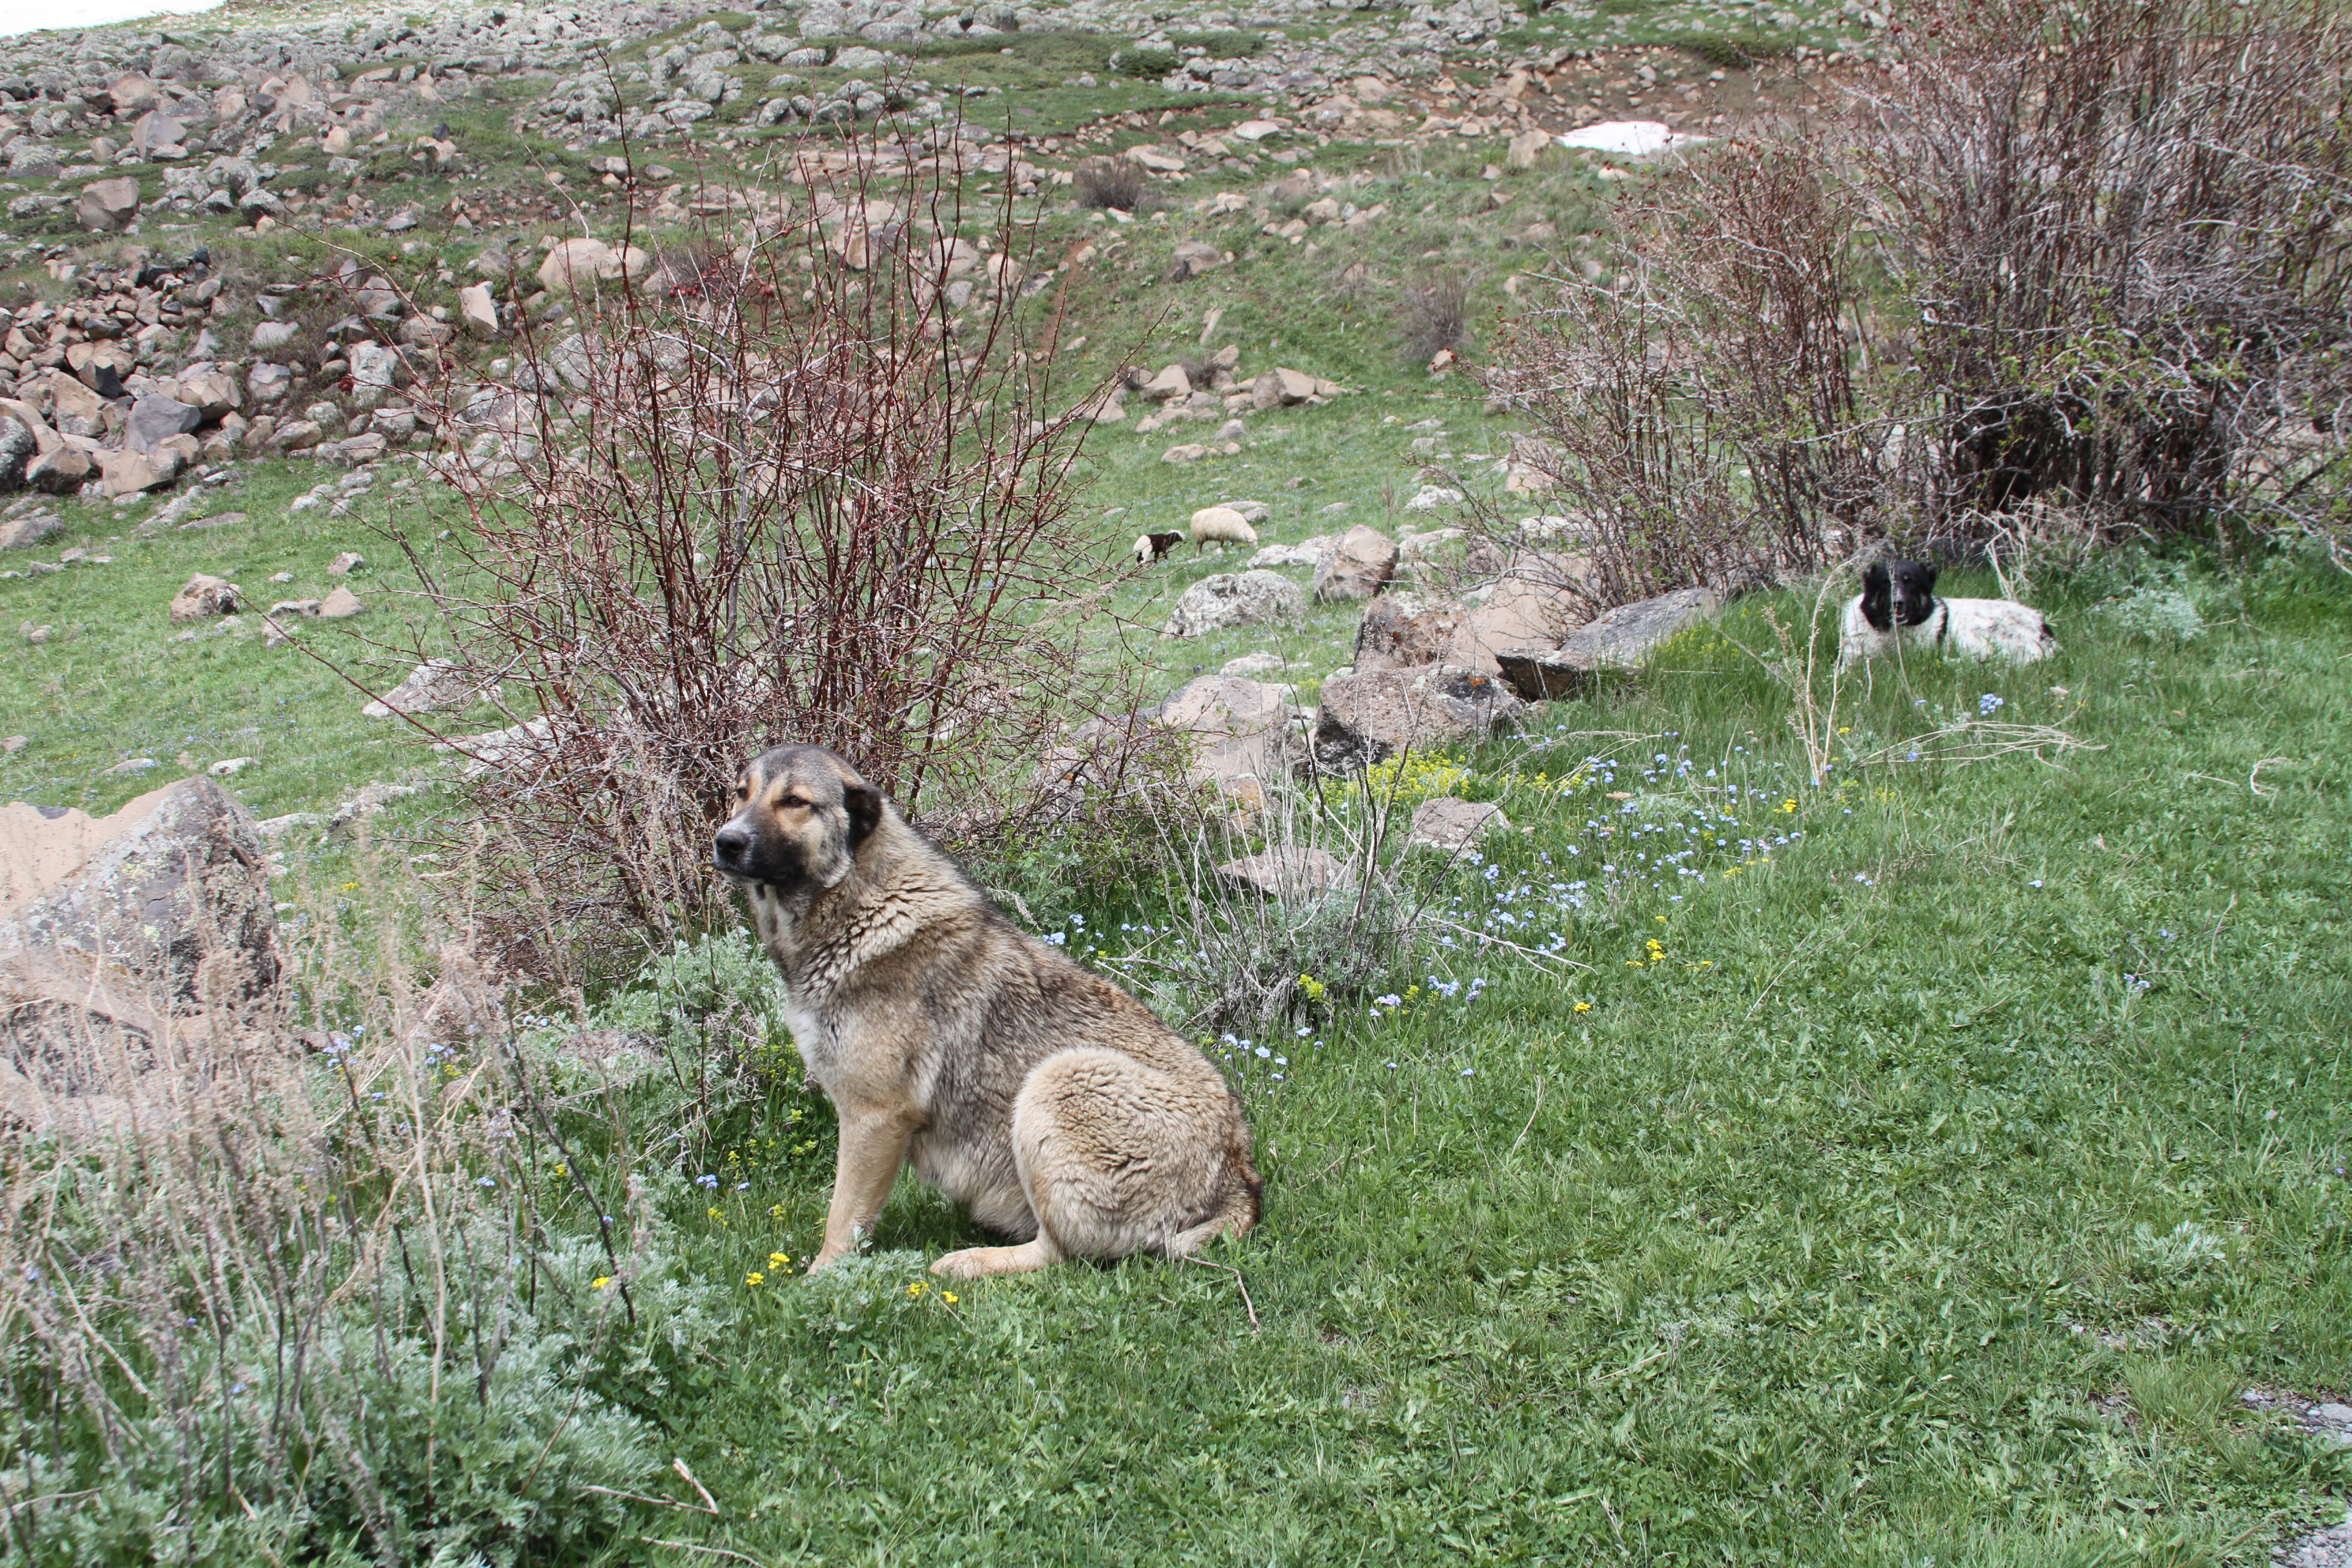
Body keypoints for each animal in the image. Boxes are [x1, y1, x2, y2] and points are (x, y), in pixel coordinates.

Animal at [715, 747, 1270, 1279]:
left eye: (794, 802)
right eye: (740, 793)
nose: (726, 841)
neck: (859, 909)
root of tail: (1239, 1179)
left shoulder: (874, 1118)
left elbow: (842, 1217)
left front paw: (819, 1280)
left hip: (1059, 1080)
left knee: (1062, 1254)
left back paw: (970, 1262)